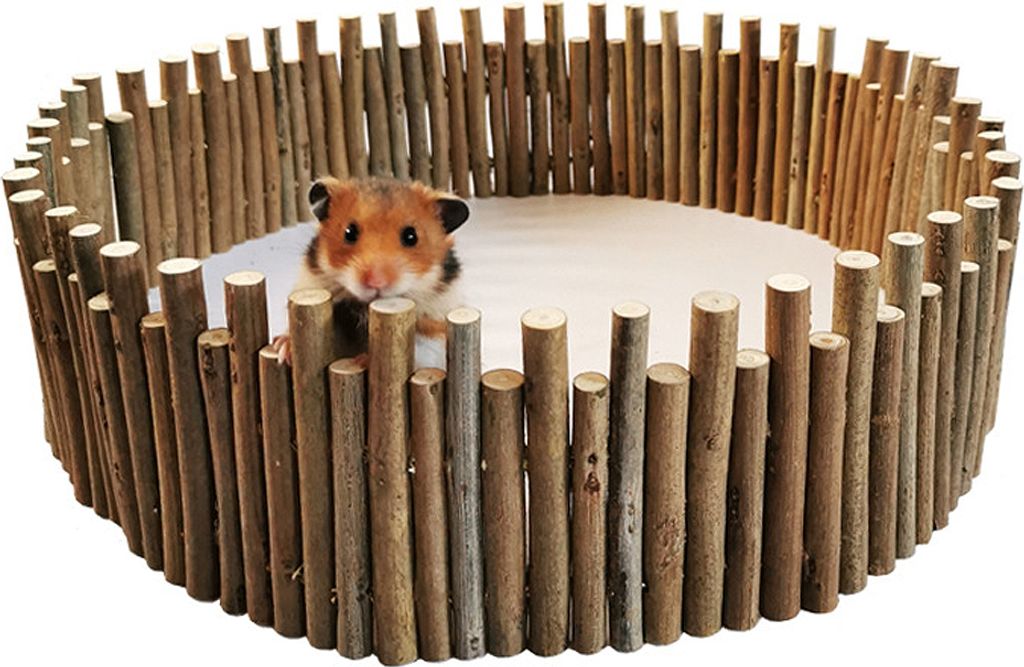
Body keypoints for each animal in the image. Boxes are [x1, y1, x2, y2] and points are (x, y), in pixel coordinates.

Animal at [273, 176, 470, 367]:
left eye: (411, 236)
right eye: (349, 232)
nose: (376, 282)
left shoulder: (435, 328)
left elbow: (420, 348)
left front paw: (363, 361)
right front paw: (282, 349)